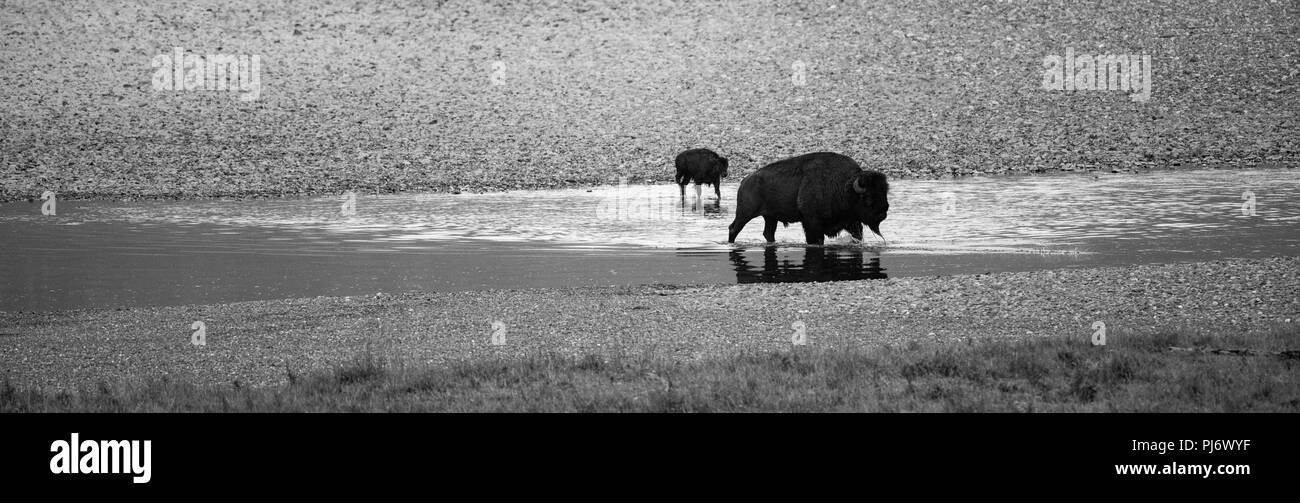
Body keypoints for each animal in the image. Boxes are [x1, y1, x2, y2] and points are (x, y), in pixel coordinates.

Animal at [728, 152, 889, 246]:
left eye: (884, 192)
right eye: (867, 196)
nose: (883, 213)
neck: (845, 186)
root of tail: (745, 181)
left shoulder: (851, 221)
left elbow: (858, 235)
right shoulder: (812, 222)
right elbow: (816, 239)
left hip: (770, 217)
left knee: (768, 233)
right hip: (744, 214)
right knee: (734, 228)